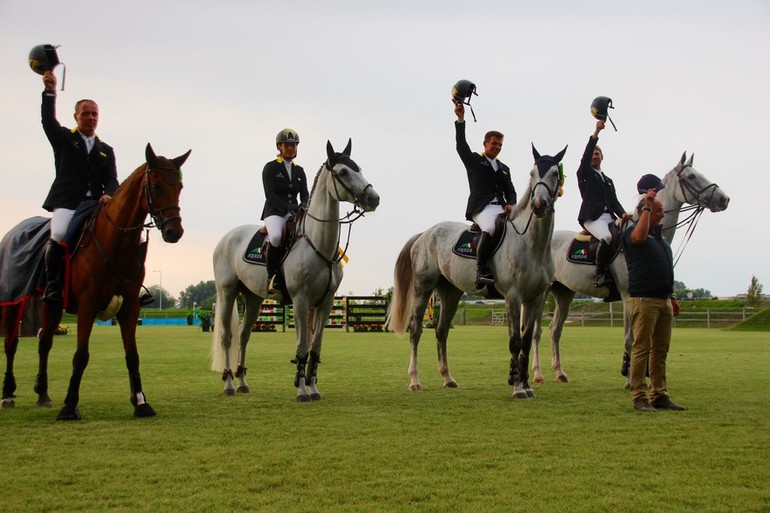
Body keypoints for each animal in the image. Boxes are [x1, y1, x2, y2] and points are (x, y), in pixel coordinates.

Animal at [0, 142, 190, 418]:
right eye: (156, 186)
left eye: (179, 187)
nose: (174, 232)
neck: (116, 240)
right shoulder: (88, 304)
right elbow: (81, 355)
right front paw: (70, 406)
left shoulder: (129, 305)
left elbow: (132, 355)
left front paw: (141, 402)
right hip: (14, 301)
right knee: (11, 343)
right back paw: (7, 394)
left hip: (52, 303)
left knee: (44, 342)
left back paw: (43, 394)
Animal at [210, 139, 378, 400]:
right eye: (343, 172)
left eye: (358, 169)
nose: (373, 198)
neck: (318, 243)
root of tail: (227, 237)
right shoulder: (300, 299)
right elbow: (301, 345)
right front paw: (301, 390)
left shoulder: (325, 302)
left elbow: (314, 346)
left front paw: (313, 387)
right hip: (227, 291)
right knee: (227, 336)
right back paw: (228, 384)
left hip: (253, 297)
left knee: (244, 334)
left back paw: (242, 382)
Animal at [390, 144, 564, 396]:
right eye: (532, 174)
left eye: (554, 173)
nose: (539, 205)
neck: (532, 244)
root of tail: (425, 234)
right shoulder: (513, 296)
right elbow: (515, 341)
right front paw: (518, 388)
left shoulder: (536, 298)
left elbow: (526, 340)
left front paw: (525, 384)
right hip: (423, 288)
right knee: (416, 330)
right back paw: (414, 380)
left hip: (450, 292)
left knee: (441, 331)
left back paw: (448, 378)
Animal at [532, 151, 728, 384]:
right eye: (691, 176)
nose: (724, 199)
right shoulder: (628, 295)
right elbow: (631, 338)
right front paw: (630, 378)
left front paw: (636, 373)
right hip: (542, 292)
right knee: (536, 331)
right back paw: (537, 374)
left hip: (564, 292)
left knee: (555, 330)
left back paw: (560, 372)